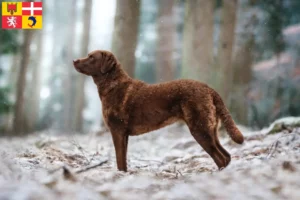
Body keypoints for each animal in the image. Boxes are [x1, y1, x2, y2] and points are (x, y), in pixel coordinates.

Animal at [72, 50, 244, 172]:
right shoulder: (124, 134)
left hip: (199, 129)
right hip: (210, 129)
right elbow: (124, 160)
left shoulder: (117, 130)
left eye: (91, 57)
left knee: (220, 158)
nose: (74, 60)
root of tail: (209, 88)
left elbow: (120, 160)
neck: (112, 85)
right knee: (227, 156)